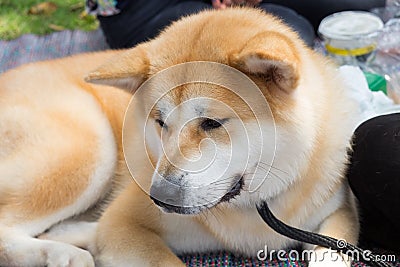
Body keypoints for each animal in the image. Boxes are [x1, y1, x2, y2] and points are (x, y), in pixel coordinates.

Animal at [0, 7, 360, 266]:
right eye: (160, 122)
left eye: (211, 123)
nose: (159, 198)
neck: (254, 206)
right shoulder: (123, 225)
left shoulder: (339, 216)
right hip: (90, 153)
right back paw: (64, 254)